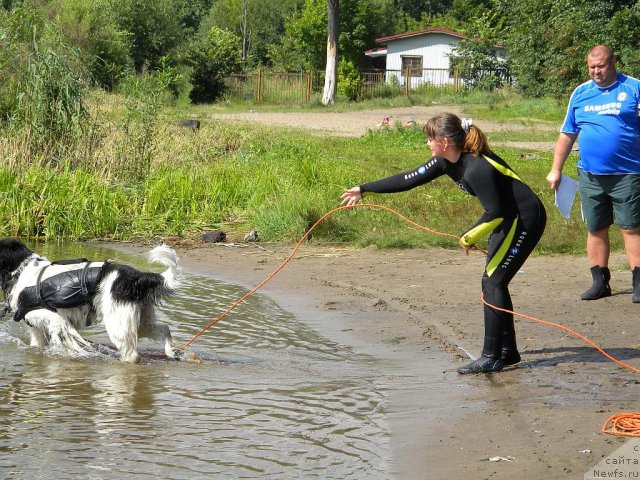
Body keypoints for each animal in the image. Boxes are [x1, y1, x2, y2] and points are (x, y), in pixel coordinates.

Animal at [0, 240, 192, 364]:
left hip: (117, 325)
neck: (22, 270)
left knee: (131, 355)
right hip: (140, 322)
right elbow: (38, 345)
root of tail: (135, 277)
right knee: (164, 329)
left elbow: (60, 327)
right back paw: (174, 352)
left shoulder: (42, 314)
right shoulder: (37, 328)